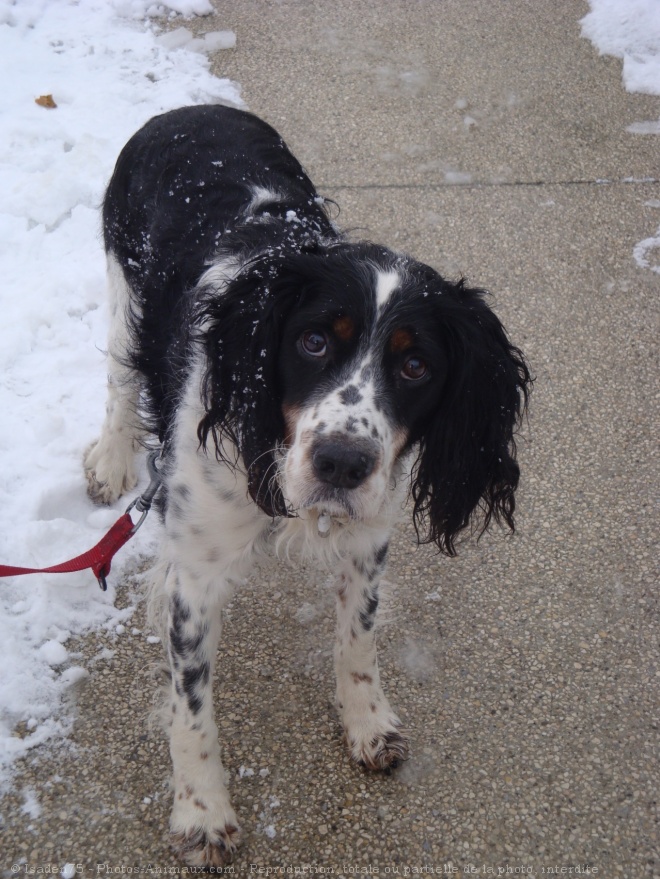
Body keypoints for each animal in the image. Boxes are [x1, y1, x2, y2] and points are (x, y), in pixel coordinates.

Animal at [86, 103, 532, 868]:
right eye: (314, 341)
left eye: (415, 365)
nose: (342, 463)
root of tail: (190, 107)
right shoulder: (198, 570)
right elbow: (192, 707)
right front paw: (202, 811)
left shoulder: (369, 535)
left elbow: (359, 640)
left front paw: (367, 722)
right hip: (123, 293)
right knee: (118, 382)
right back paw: (113, 457)